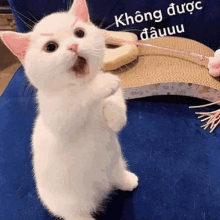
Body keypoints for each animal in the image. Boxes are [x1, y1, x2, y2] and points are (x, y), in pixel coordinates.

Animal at [0, 0, 138, 219]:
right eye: (50, 47)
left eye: (79, 33)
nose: (73, 46)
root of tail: (101, 192)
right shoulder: (59, 117)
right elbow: (77, 102)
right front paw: (105, 83)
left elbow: (119, 118)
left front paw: (110, 107)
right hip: (71, 204)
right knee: (77, 215)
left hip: (116, 164)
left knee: (116, 176)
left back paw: (126, 180)